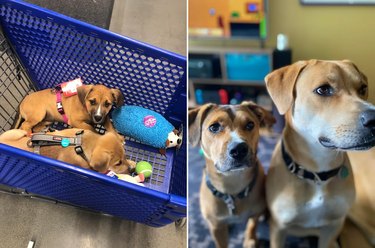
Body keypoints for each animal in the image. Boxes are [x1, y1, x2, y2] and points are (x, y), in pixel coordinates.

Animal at [191, 101, 276, 248]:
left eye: (250, 125)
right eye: (214, 127)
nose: (239, 149)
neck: (233, 182)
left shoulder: (255, 212)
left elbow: (252, 225)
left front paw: (250, 240)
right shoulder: (216, 227)